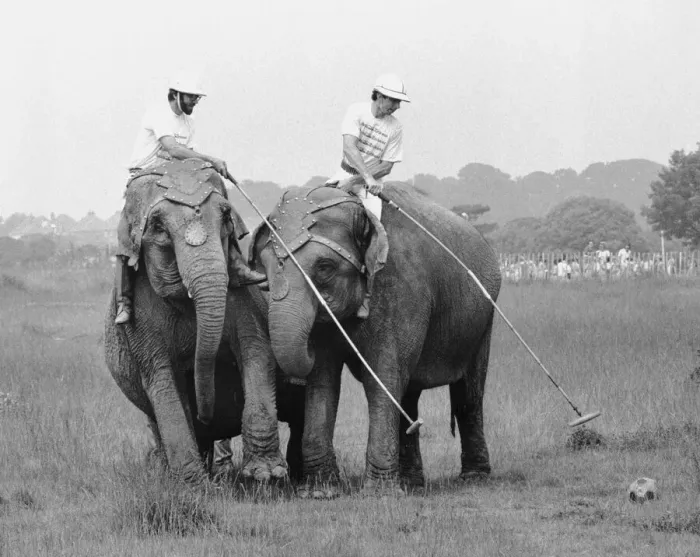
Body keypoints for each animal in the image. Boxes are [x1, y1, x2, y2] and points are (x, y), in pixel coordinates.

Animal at [105, 159, 302, 483]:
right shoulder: (141, 318)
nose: (205, 416)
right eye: (158, 227)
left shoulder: (240, 296)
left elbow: (256, 351)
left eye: (226, 217)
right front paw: (192, 485)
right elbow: (162, 378)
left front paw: (266, 476)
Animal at [251, 183, 502, 490]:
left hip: (484, 317)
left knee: (468, 393)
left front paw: (379, 492)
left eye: (324, 267)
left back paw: (473, 478)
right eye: (264, 268)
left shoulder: (401, 290)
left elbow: (380, 378)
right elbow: (324, 379)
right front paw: (320, 491)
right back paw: (412, 483)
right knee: (409, 394)